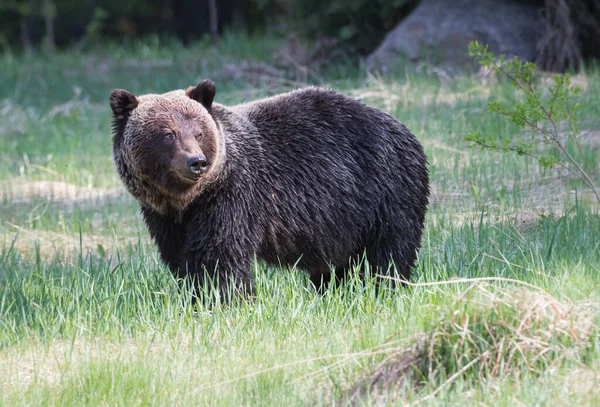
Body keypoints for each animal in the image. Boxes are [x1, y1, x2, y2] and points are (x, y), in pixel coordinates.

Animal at [110, 79, 428, 300]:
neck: (188, 199)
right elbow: (180, 258)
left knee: (388, 253)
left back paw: (382, 289)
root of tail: (405, 129)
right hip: (342, 218)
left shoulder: (233, 195)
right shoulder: (164, 216)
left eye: (199, 133)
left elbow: (218, 254)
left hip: (385, 191)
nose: (196, 162)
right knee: (337, 264)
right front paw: (194, 297)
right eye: (168, 134)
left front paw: (223, 300)